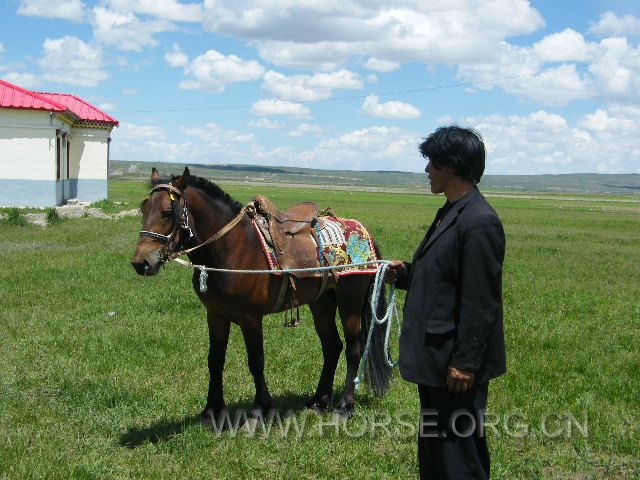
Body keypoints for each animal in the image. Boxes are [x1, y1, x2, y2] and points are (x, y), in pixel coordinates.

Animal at [131, 167, 390, 422]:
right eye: (144, 209)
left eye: (167, 212)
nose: (141, 263)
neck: (232, 248)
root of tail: (363, 231)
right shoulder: (215, 315)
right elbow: (215, 359)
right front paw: (213, 410)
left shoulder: (250, 318)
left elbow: (256, 361)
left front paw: (260, 409)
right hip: (322, 302)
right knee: (332, 346)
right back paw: (319, 401)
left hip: (350, 301)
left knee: (353, 349)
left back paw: (345, 407)